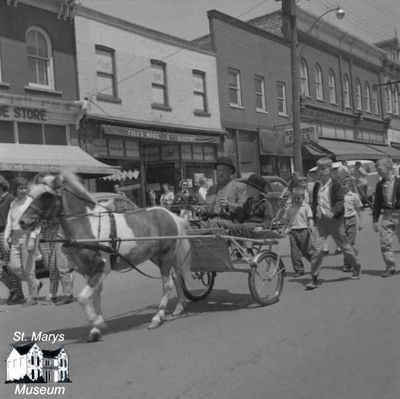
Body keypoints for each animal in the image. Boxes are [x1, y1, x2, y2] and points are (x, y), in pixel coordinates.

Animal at [20, 173, 192, 342]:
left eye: (46, 195)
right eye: (30, 194)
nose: (22, 221)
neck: (87, 224)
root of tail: (170, 214)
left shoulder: (101, 267)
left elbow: (83, 297)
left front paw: (98, 322)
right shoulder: (87, 271)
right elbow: (94, 297)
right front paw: (95, 329)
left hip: (166, 255)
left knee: (167, 283)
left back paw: (157, 317)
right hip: (157, 257)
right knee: (175, 276)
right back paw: (180, 305)